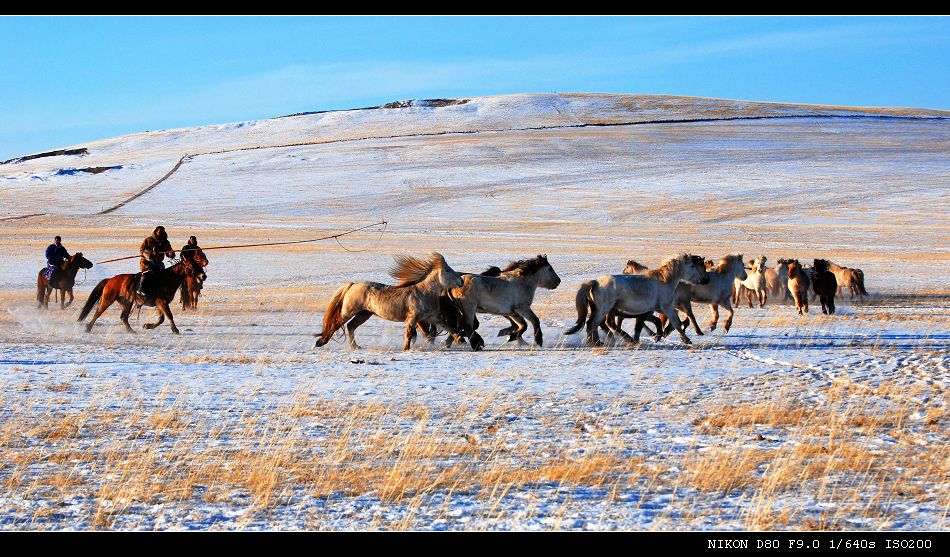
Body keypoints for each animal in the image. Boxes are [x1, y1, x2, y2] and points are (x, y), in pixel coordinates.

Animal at [77, 252, 208, 334]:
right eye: (192, 264)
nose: (204, 276)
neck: (167, 279)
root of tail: (110, 280)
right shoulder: (162, 302)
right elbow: (169, 315)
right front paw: (175, 330)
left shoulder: (160, 303)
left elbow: (161, 319)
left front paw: (148, 326)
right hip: (108, 299)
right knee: (98, 312)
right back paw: (88, 328)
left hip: (127, 303)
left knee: (123, 317)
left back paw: (131, 331)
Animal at [316, 253, 464, 350]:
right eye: (447, 270)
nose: (461, 281)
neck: (423, 293)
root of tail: (353, 284)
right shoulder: (413, 317)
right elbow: (409, 333)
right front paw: (406, 349)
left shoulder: (431, 317)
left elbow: (447, 327)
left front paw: (460, 339)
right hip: (349, 312)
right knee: (336, 324)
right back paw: (320, 342)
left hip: (364, 314)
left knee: (351, 326)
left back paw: (355, 346)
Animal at [564, 254, 708, 346]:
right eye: (692, 266)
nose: (702, 280)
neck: (664, 281)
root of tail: (596, 282)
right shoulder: (666, 308)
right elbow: (676, 322)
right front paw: (686, 340)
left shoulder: (652, 310)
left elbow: (655, 322)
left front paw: (657, 336)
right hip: (603, 310)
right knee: (594, 324)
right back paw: (597, 342)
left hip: (602, 310)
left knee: (597, 324)